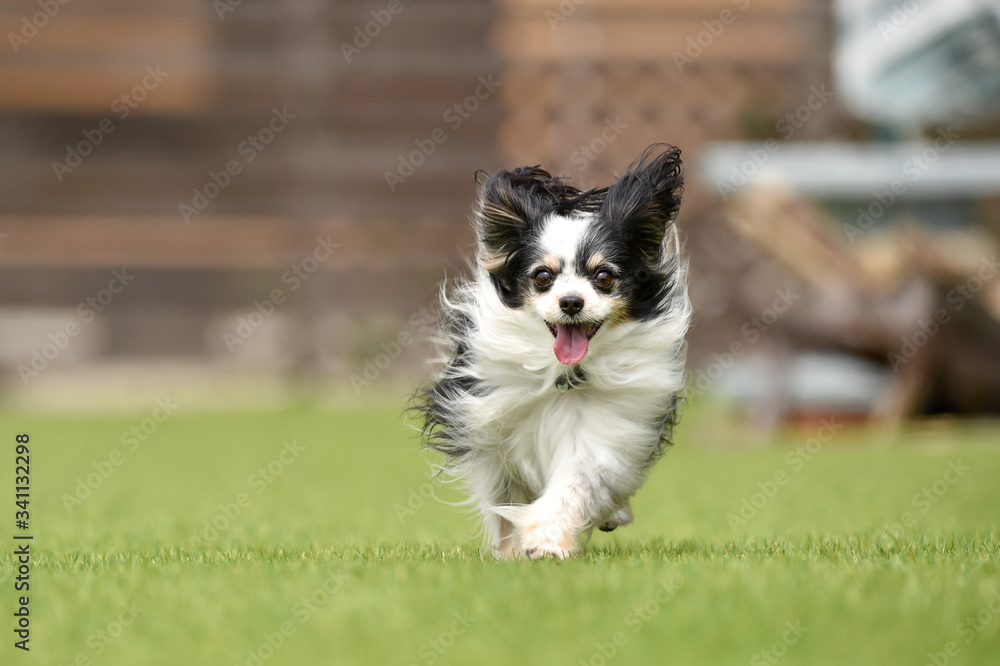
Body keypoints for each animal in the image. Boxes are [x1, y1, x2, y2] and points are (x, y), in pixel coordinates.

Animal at [412, 147, 688, 560]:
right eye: (543, 277)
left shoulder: (598, 435)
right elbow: (505, 501)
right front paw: (511, 550)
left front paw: (546, 542)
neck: (564, 374)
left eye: (604, 277)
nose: (571, 301)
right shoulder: (492, 433)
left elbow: (574, 488)